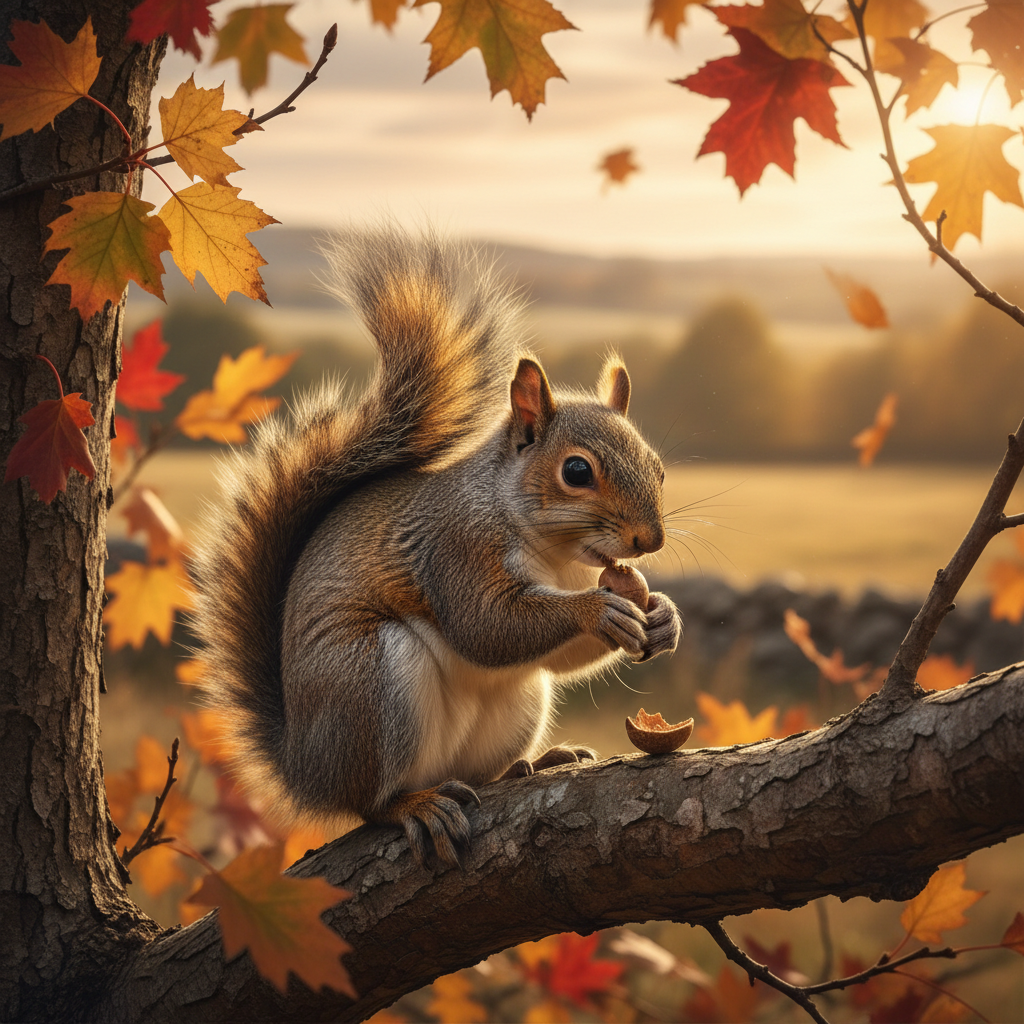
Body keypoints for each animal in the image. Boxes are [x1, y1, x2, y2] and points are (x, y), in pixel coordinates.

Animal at [191, 226, 682, 867]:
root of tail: (303, 766)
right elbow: (486, 624)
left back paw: (533, 763)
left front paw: (664, 616)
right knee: (368, 802)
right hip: (369, 684)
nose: (650, 539)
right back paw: (413, 805)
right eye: (576, 471)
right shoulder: (454, 549)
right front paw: (599, 610)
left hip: (517, 703)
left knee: (484, 766)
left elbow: (555, 655)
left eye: (658, 466)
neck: (555, 558)